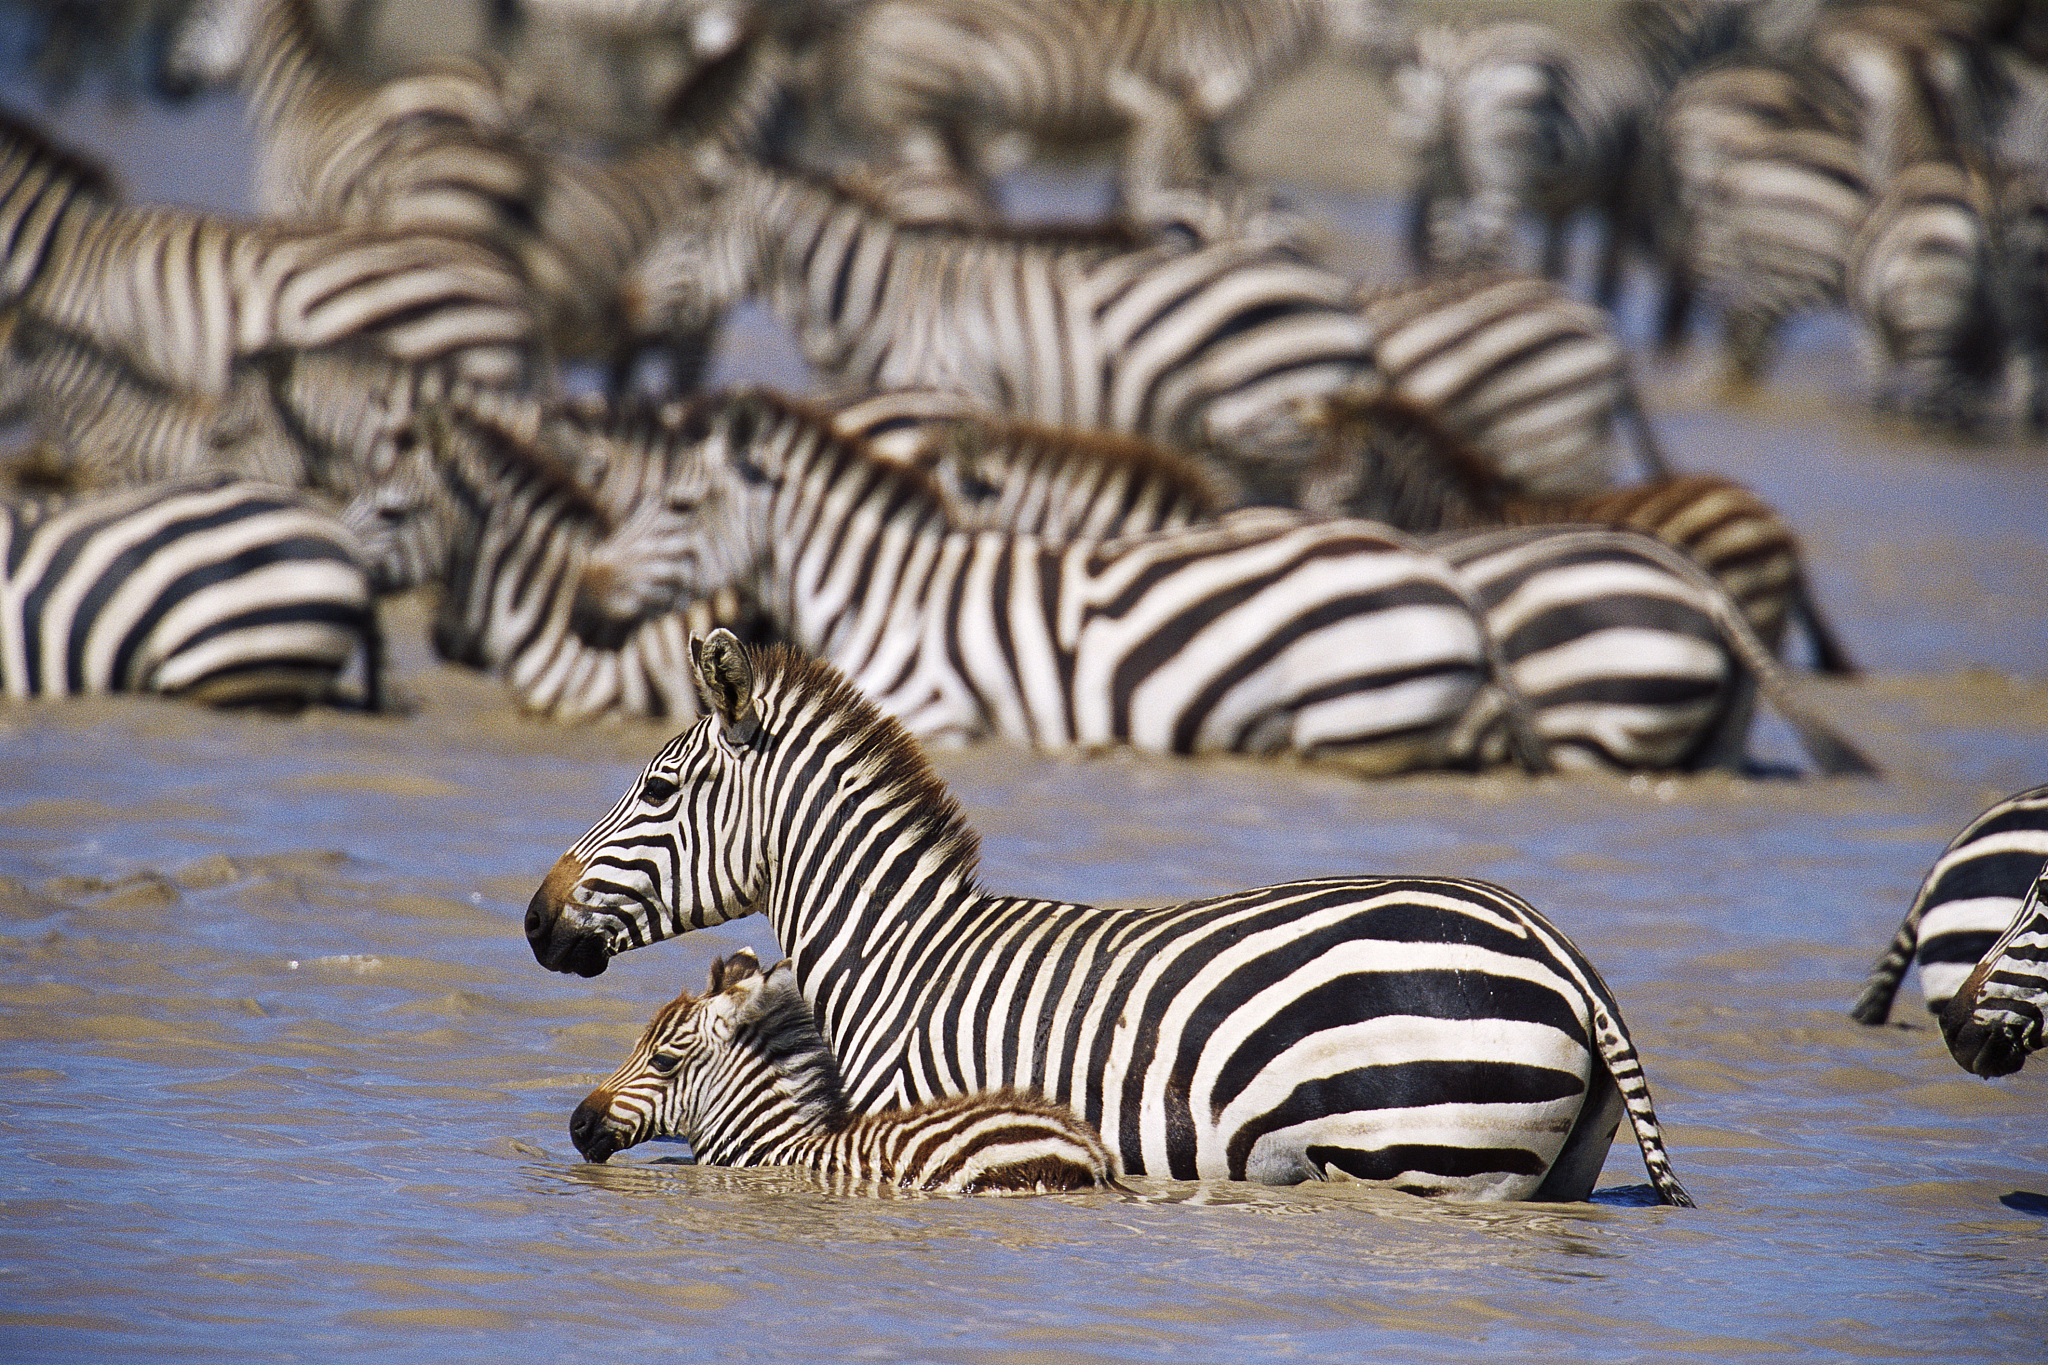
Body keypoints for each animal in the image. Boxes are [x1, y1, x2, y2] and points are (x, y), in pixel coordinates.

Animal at [571, 387, 1552, 776]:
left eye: (679, 502)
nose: (581, 611)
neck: (883, 589)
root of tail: (1454, 587)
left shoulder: (933, 706)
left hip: (1351, 722)